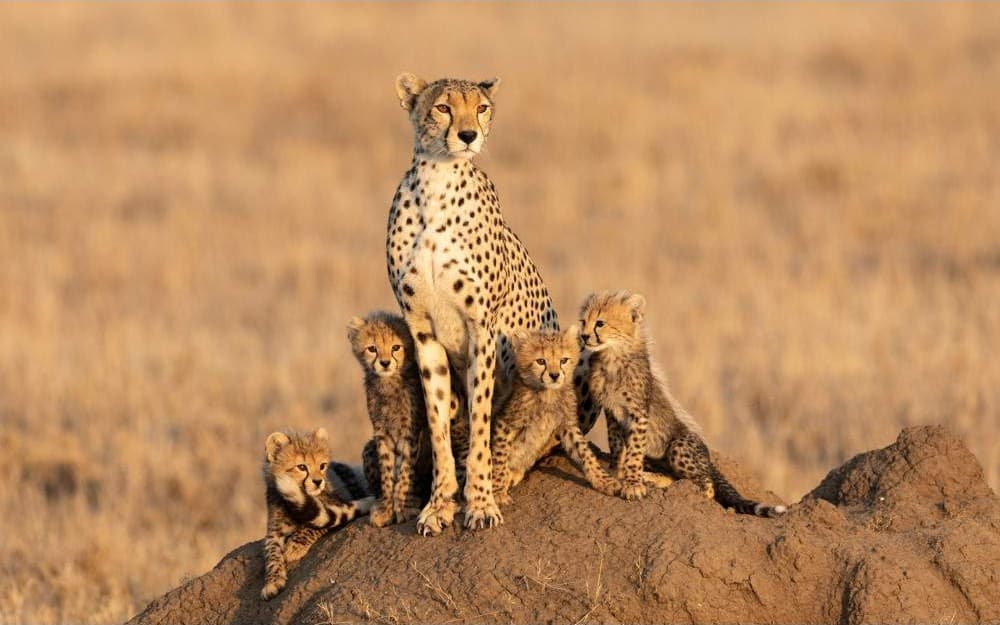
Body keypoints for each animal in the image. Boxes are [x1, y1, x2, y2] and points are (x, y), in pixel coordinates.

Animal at [261, 428, 375, 600]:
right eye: (301, 467)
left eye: (322, 465)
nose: (318, 482)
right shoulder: (274, 532)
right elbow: (272, 555)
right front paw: (272, 582)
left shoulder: (338, 506)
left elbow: (312, 527)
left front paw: (294, 547)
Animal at [385, 73, 599, 534]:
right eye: (443, 107)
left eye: (481, 108)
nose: (469, 135)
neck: (437, 183)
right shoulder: (422, 331)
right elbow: (437, 422)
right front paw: (439, 504)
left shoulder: (481, 328)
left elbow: (483, 421)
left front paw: (481, 502)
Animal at [490, 326, 622, 506]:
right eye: (540, 361)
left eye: (563, 360)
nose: (554, 375)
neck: (548, 393)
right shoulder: (506, 423)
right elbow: (499, 457)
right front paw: (497, 491)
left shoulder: (567, 424)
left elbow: (585, 452)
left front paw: (603, 480)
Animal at [578, 290, 787, 517]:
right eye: (583, 322)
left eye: (600, 323)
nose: (584, 336)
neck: (612, 355)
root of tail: (709, 460)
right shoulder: (612, 412)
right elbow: (616, 444)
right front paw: (618, 472)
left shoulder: (638, 413)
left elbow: (634, 451)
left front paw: (632, 483)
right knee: (674, 477)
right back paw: (651, 478)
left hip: (678, 446)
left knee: (706, 485)